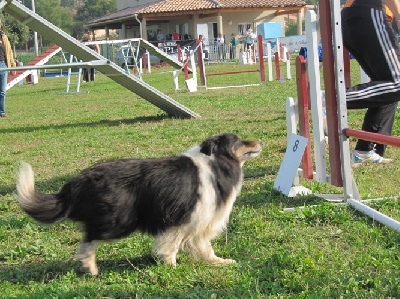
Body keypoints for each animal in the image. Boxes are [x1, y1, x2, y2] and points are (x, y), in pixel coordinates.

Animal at [17, 134, 262, 276]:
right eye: (239, 141)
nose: (260, 141)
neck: (217, 162)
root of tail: (79, 180)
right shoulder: (180, 218)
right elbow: (170, 246)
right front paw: (171, 267)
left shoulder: (199, 222)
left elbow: (204, 248)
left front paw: (220, 262)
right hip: (120, 220)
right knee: (90, 238)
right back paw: (90, 267)